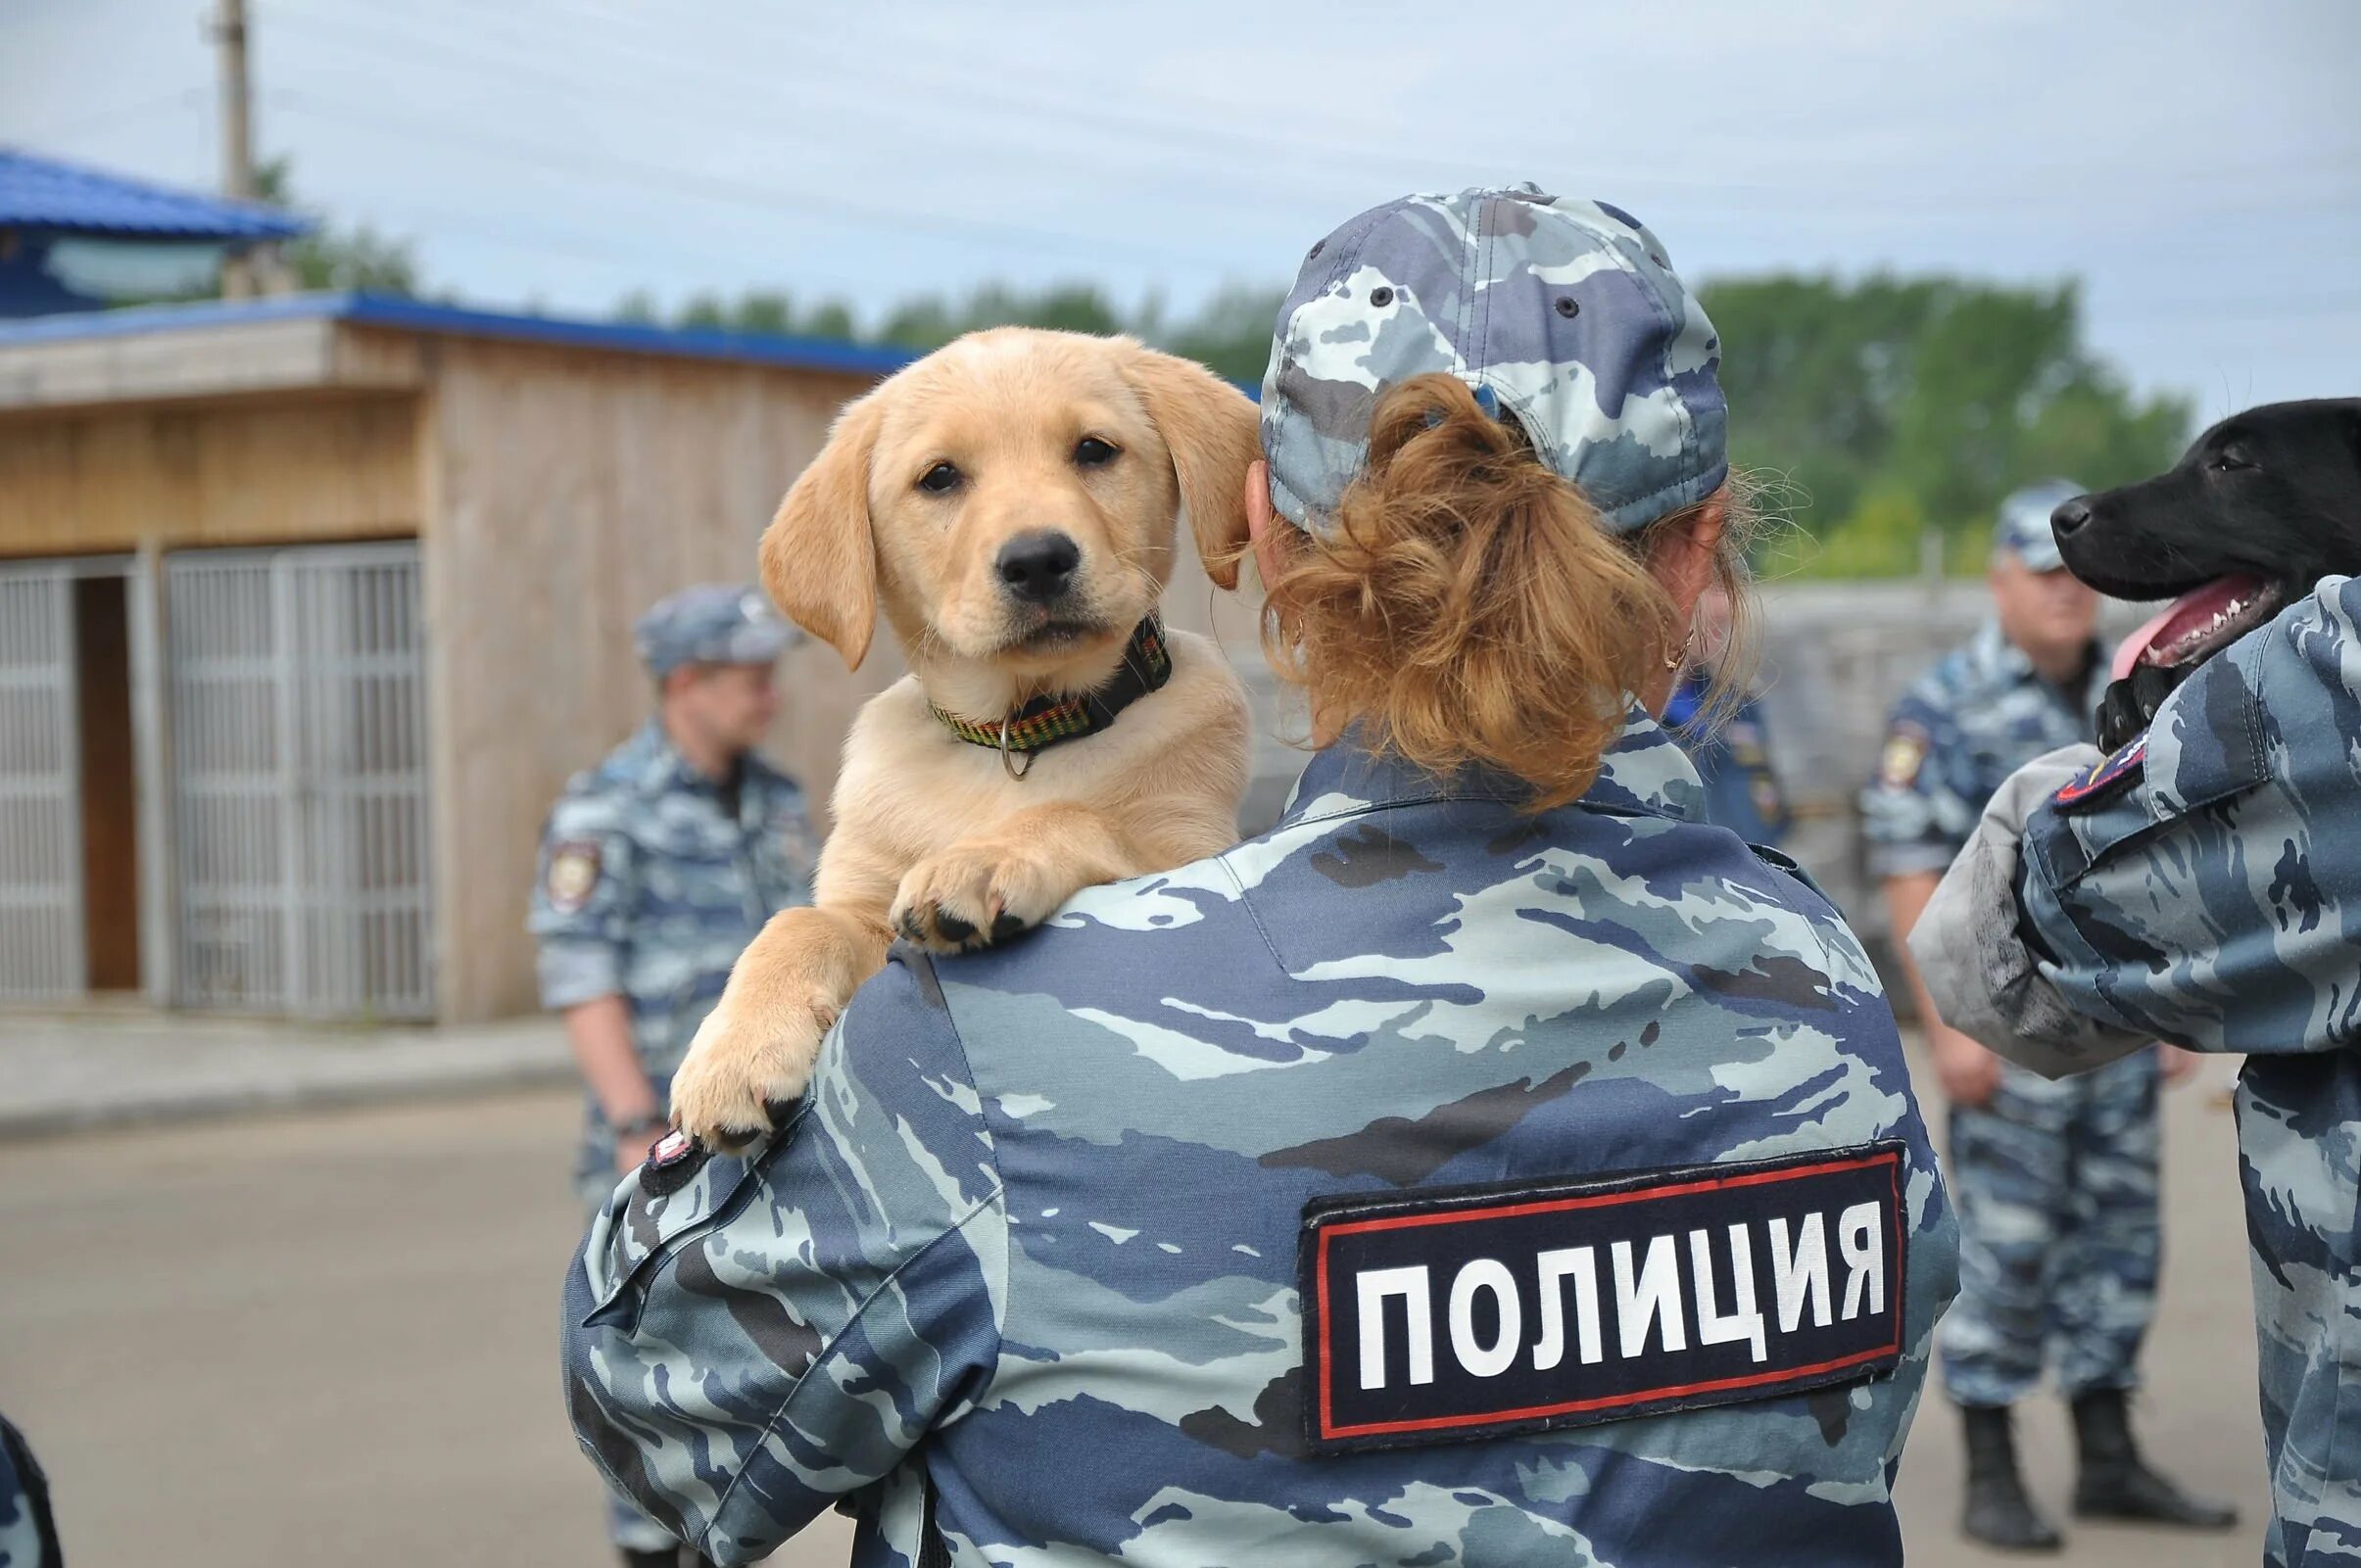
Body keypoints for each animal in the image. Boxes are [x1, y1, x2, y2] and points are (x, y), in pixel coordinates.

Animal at [670, 328, 1256, 1138]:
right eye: (940, 477)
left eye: (1095, 450)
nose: (1038, 559)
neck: (1020, 729)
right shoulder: (863, 904)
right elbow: (797, 922)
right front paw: (734, 1054)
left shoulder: (1194, 850)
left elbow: (1077, 814)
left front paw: (981, 859)